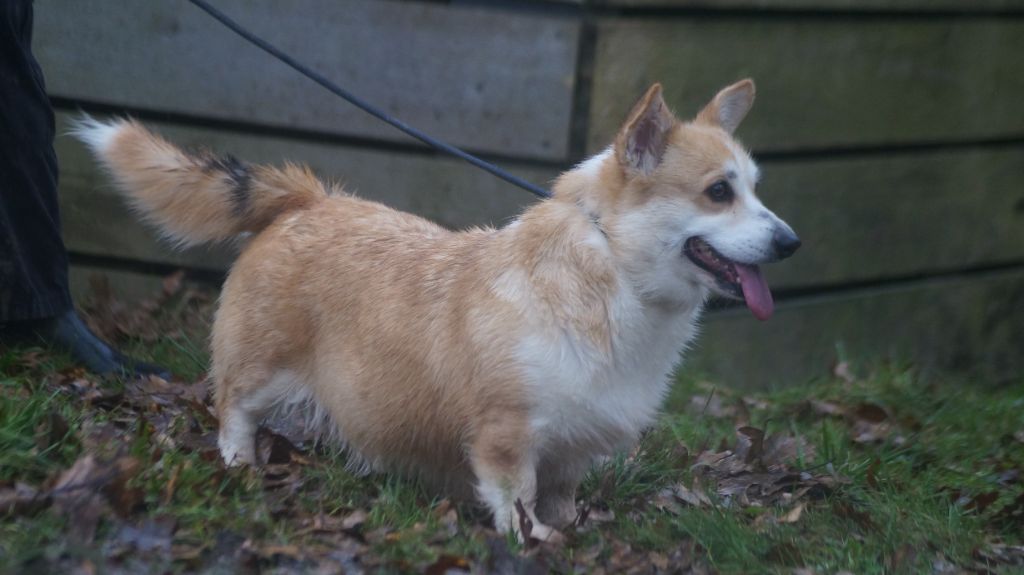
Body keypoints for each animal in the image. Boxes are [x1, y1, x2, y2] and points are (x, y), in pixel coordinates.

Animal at [77, 80, 798, 540]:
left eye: (756, 189)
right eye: (718, 192)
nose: (792, 243)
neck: (610, 269)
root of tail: (307, 200)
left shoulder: (571, 450)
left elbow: (560, 498)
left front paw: (570, 531)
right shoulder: (506, 435)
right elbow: (516, 500)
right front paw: (530, 543)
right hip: (261, 368)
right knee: (233, 409)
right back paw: (240, 465)